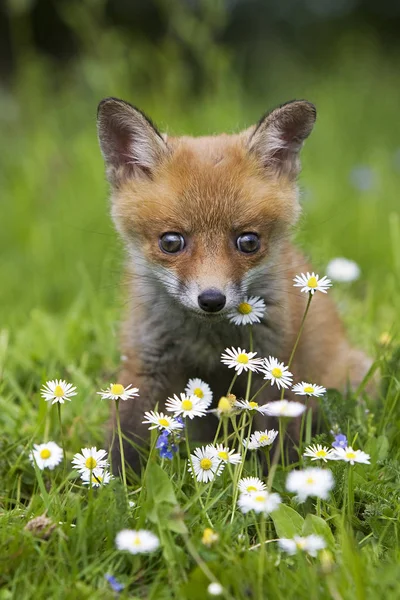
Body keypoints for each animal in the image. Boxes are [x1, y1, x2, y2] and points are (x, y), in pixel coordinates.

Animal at [96, 99, 372, 474]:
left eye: (248, 241)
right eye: (171, 242)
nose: (212, 299)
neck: (208, 341)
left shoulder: (273, 367)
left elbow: (273, 441)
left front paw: (271, 482)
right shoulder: (147, 361)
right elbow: (125, 438)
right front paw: (109, 483)